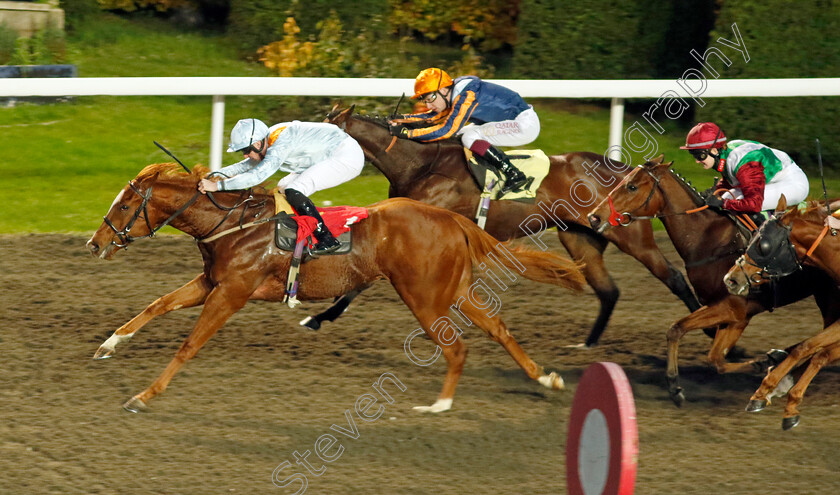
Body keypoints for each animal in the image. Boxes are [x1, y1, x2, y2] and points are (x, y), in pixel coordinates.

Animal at [85, 165, 584, 412]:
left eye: (125, 205)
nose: (95, 243)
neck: (234, 226)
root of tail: (451, 218)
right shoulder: (212, 282)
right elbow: (157, 305)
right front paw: (109, 344)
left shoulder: (231, 294)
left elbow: (188, 345)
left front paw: (143, 396)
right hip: (451, 290)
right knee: (498, 328)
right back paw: (545, 377)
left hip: (424, 296)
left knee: (456, 346)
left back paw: (439, 406)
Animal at [306, 105, 696, 348]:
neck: (421, 165)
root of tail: (630, 172)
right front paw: (321, 316)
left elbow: (365, 279)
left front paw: (320, 316)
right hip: (579, 237)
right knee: (608, 291)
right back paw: (587, 344)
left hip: (632, 237)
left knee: (675, 277)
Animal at [584, 158, 840, 406]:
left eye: (632, 186)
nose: (594, 217)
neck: (710, 240)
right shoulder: (733, 315)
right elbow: (712, 356)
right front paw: (764, 363)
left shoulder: (734, 309)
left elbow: (679, 330)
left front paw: (675, 386)